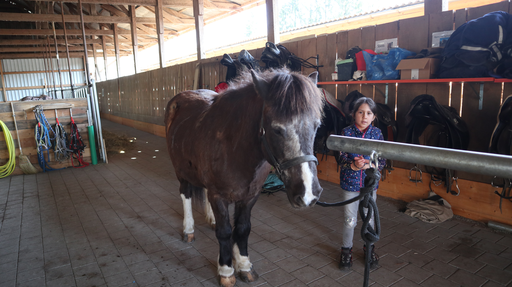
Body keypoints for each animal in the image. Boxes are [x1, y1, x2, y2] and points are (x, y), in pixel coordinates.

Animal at [165, 69, 324, 287]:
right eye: (277, 129)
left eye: (317, 125)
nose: (308, 194)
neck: (234, 147)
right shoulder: (219, 196)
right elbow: (225, 232)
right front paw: (226, 269)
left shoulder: (250, 196)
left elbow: (241, 229)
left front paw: (243, 264)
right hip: (181, 173)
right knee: (186, 195)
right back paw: (188, 230)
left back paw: (211, 219)